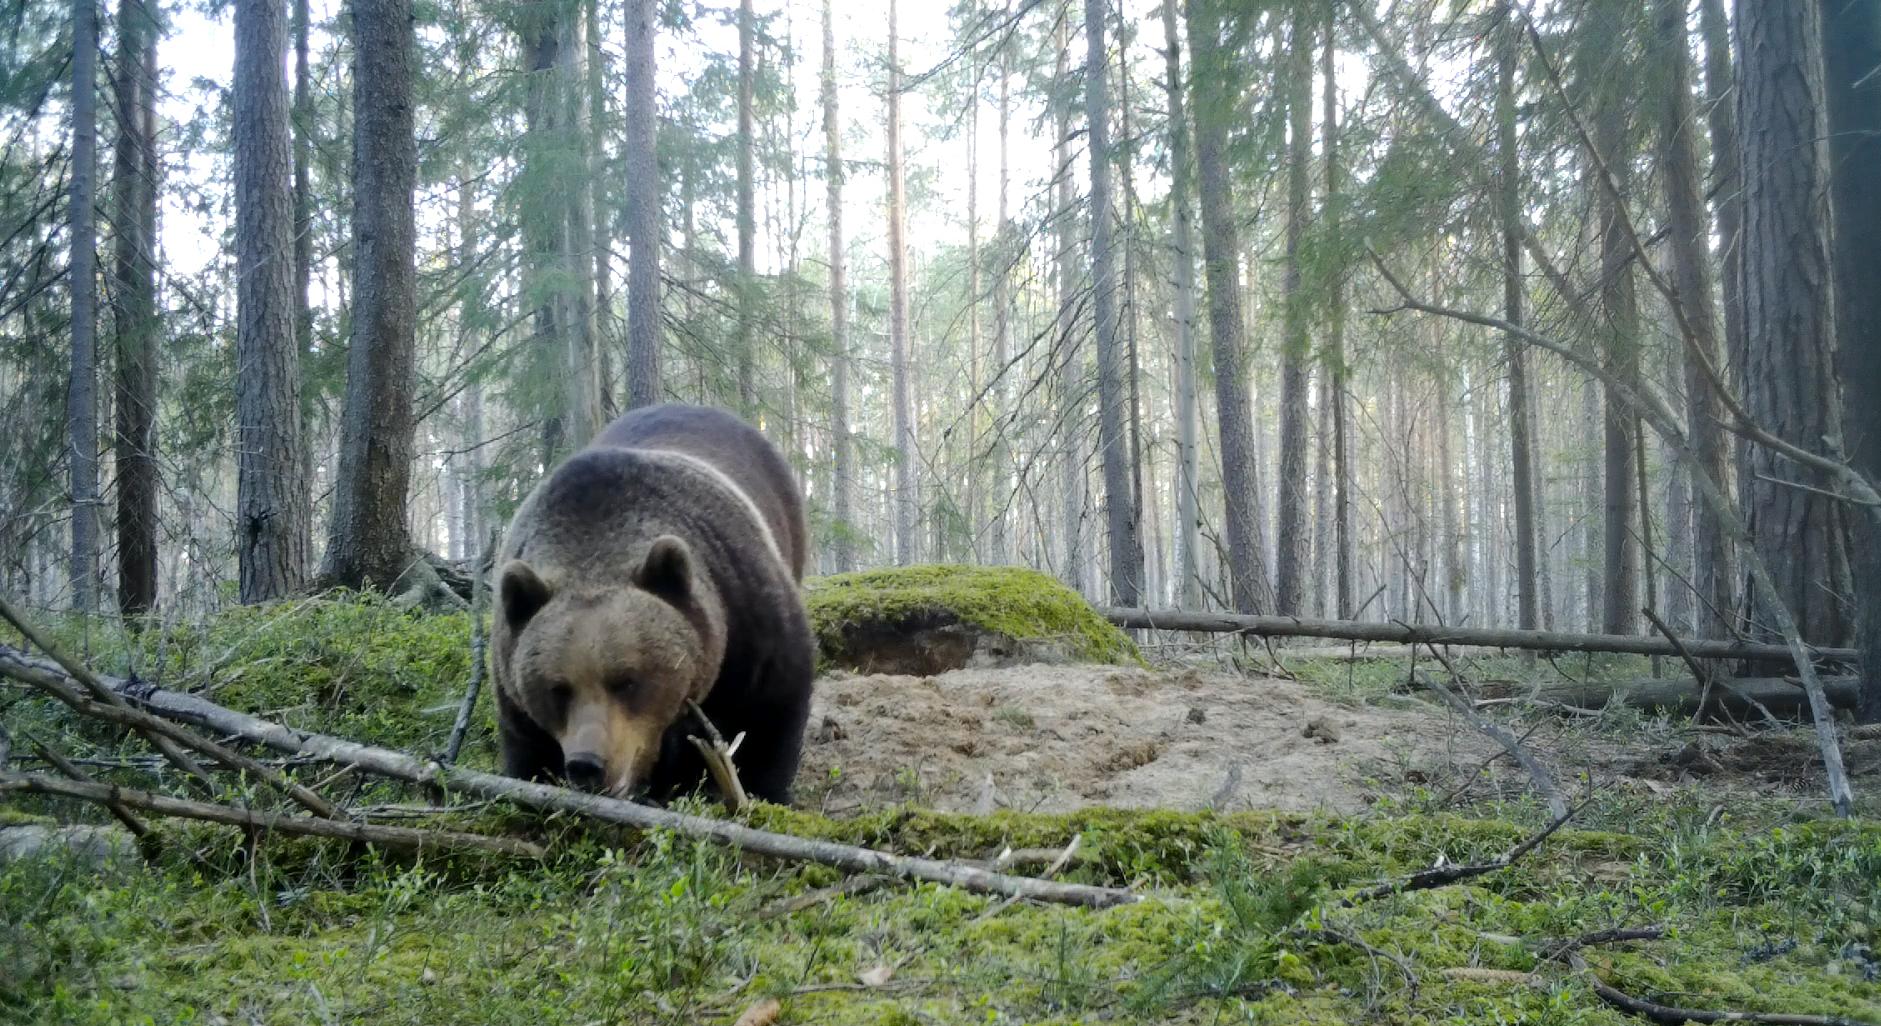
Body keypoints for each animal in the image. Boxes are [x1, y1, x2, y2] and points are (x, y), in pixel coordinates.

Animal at [489, 404, 812, 805]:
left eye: (626, 680)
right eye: (557, 688)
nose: (587, 765)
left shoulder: (744, 609)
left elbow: (770, 713)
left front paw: (764, 790)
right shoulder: (510, 676)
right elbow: (527, 751)